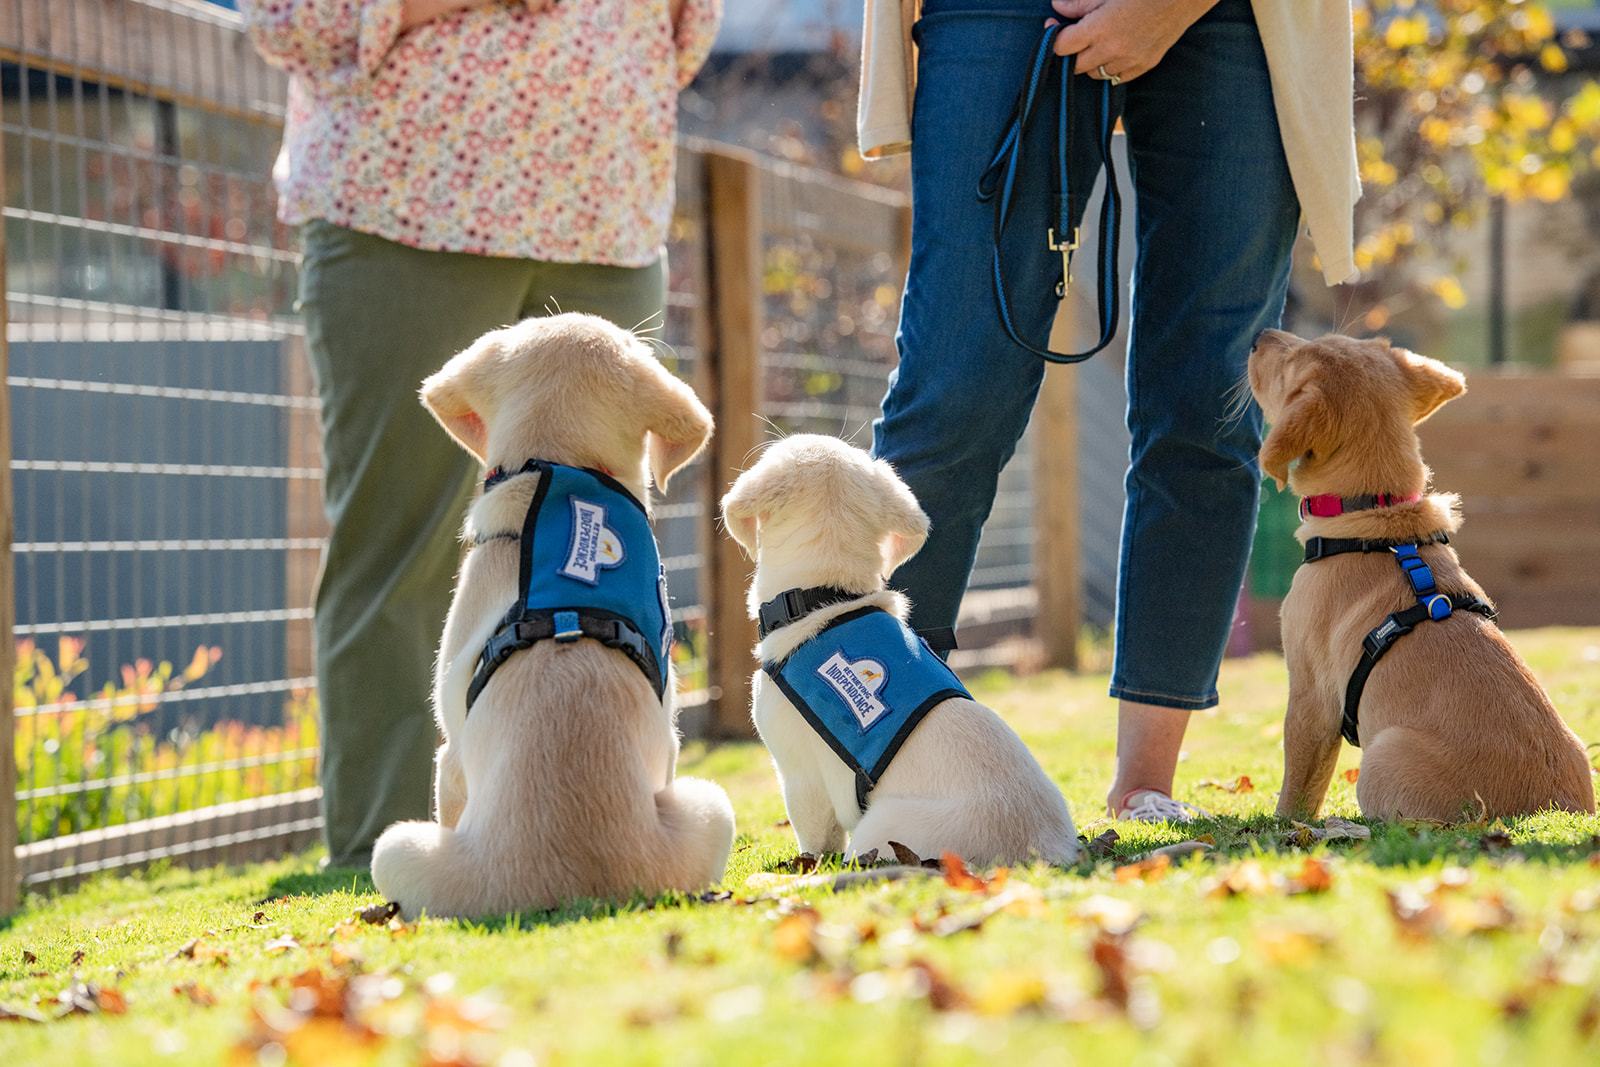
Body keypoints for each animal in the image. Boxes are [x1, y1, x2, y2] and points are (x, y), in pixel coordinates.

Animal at [371, 310, 732, 921]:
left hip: (399, 844)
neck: (564, 471)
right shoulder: (671, 739)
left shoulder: (450, 755)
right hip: (710, 801)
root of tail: (571, 896)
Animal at [729, 435, 1088, 870]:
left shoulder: (799, 776)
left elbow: (815, 841)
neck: (827, 596)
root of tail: (1039, 854)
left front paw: (805, 868)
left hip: (878, 829)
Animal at [1254, 329, 1593, 825]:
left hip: (1382, 757)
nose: (1260, 336)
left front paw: (1283, 823)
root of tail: (1548, 812)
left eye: (1292, 363)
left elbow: (1299, 784)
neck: (1378, 515)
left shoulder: (1311, 696)